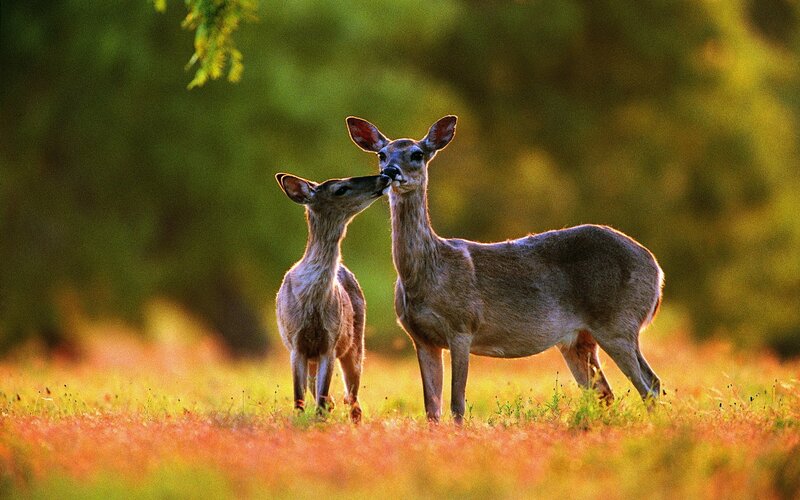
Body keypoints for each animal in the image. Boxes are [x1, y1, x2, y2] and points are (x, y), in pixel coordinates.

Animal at [275, 172, 392, 423]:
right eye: (340, 189)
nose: (384, 176)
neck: (312, 300)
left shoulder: (330, 342)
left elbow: (320, 398)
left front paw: (320, 421)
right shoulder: (295, 343)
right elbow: (299, 397)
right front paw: (301, 420)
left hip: (356, 344)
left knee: (354, 400)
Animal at [347, 116, 664, 424]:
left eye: (417, 153)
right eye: (381, 154)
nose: (390, 171)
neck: (429, 273)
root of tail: (656, 268)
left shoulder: (463, 326)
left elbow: (457, 404)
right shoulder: (421, 338)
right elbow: (431, 410)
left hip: (618, 322)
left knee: (650, 384)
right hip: (579, 339)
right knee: (606, 393)